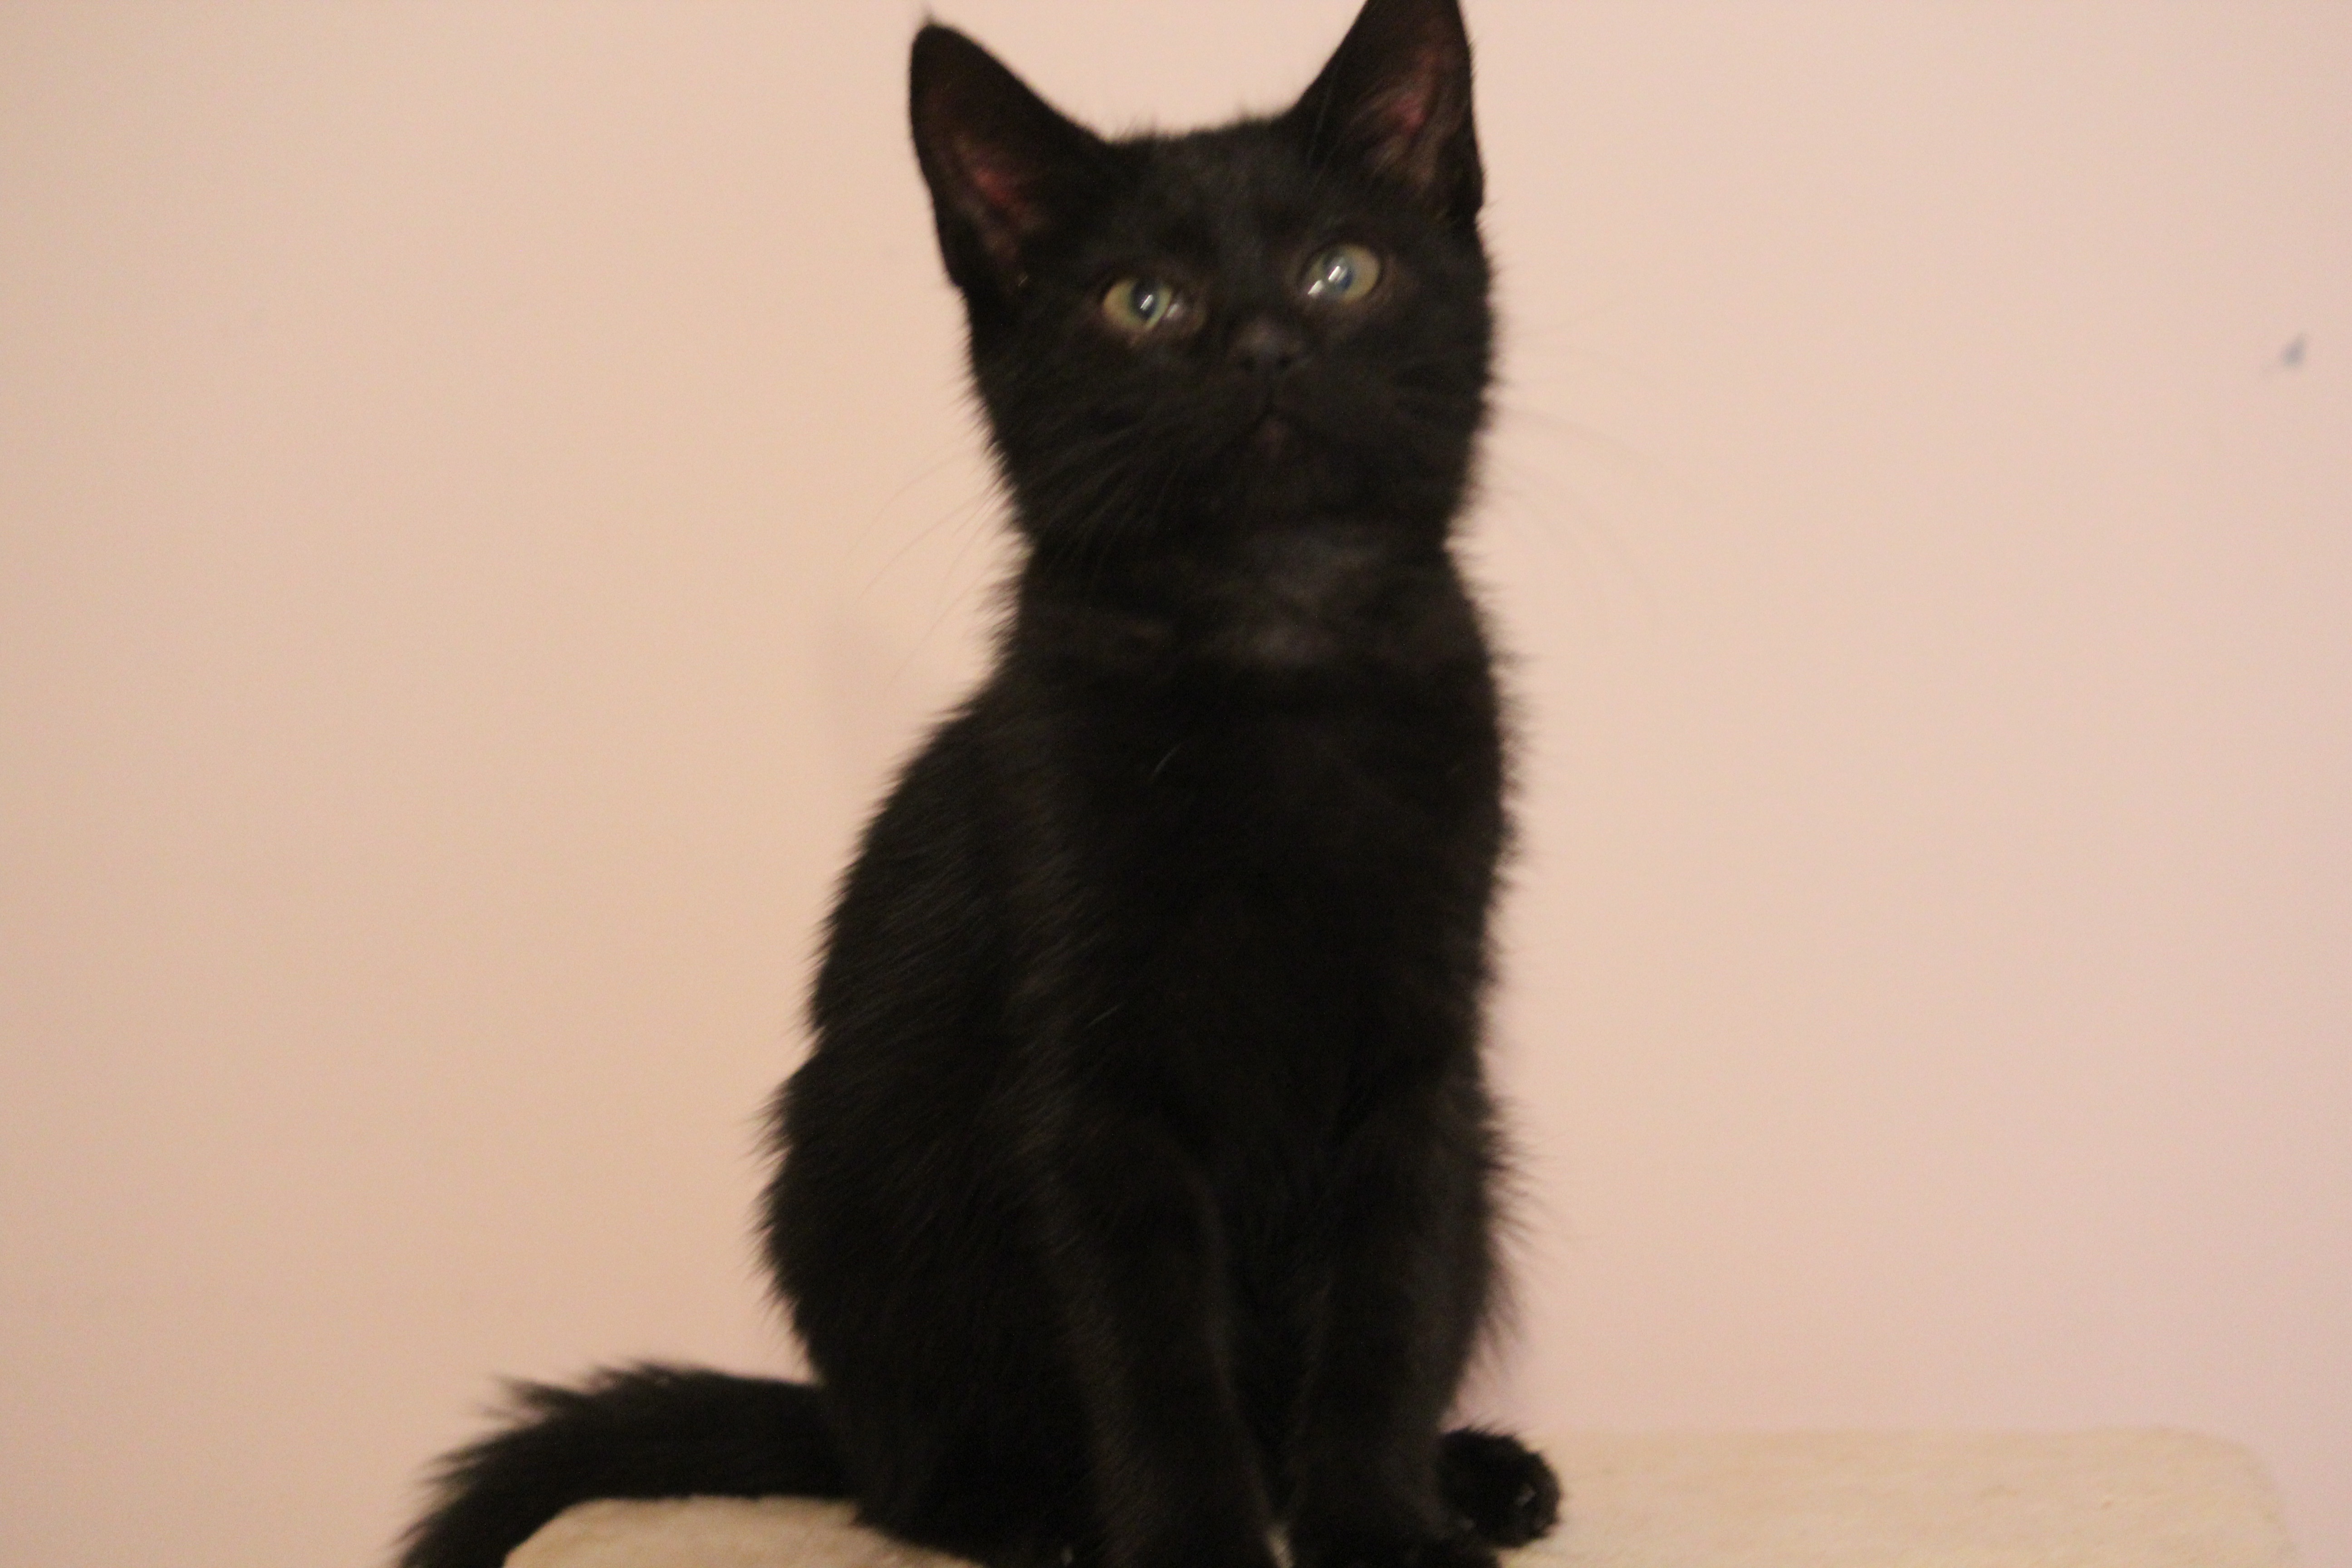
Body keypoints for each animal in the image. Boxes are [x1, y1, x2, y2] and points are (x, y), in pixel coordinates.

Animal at [397, 3, 1559, 1567]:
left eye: (1344, 272)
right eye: (1144, 303)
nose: (1264, 347)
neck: (1274, 641)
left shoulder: (1425, 1058)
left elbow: (1388, 1311)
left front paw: (1381, 1526)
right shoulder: (1087, 1083)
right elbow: (1151, 1354)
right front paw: (1192, 1544)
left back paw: (1474, 1474)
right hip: (850, 1184)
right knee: (904, 1475)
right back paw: (1029, 1509)